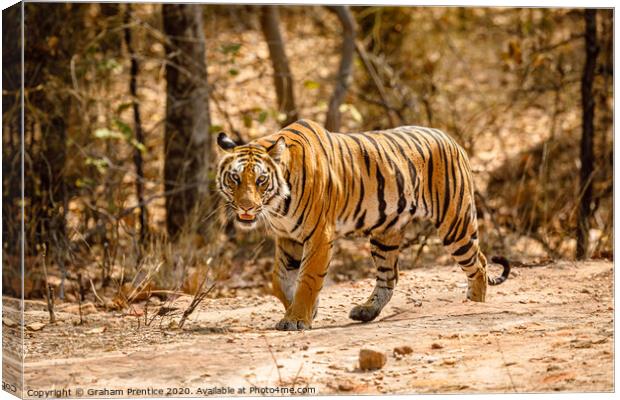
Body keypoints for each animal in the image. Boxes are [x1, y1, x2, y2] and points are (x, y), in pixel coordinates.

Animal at [216, 119, 512, 332]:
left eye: (261, 180)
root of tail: (451, 138)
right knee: (389, 277)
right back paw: (366, 311)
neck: (277, 204)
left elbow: (308, 278)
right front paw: (306, 310)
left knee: (480, 264)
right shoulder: (288, 238)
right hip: (385, 235)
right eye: (235, 178)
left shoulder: (318, 236)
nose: (246, 207)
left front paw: (297, 318)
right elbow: (279, 281)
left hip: (455, 223)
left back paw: (473, 304)